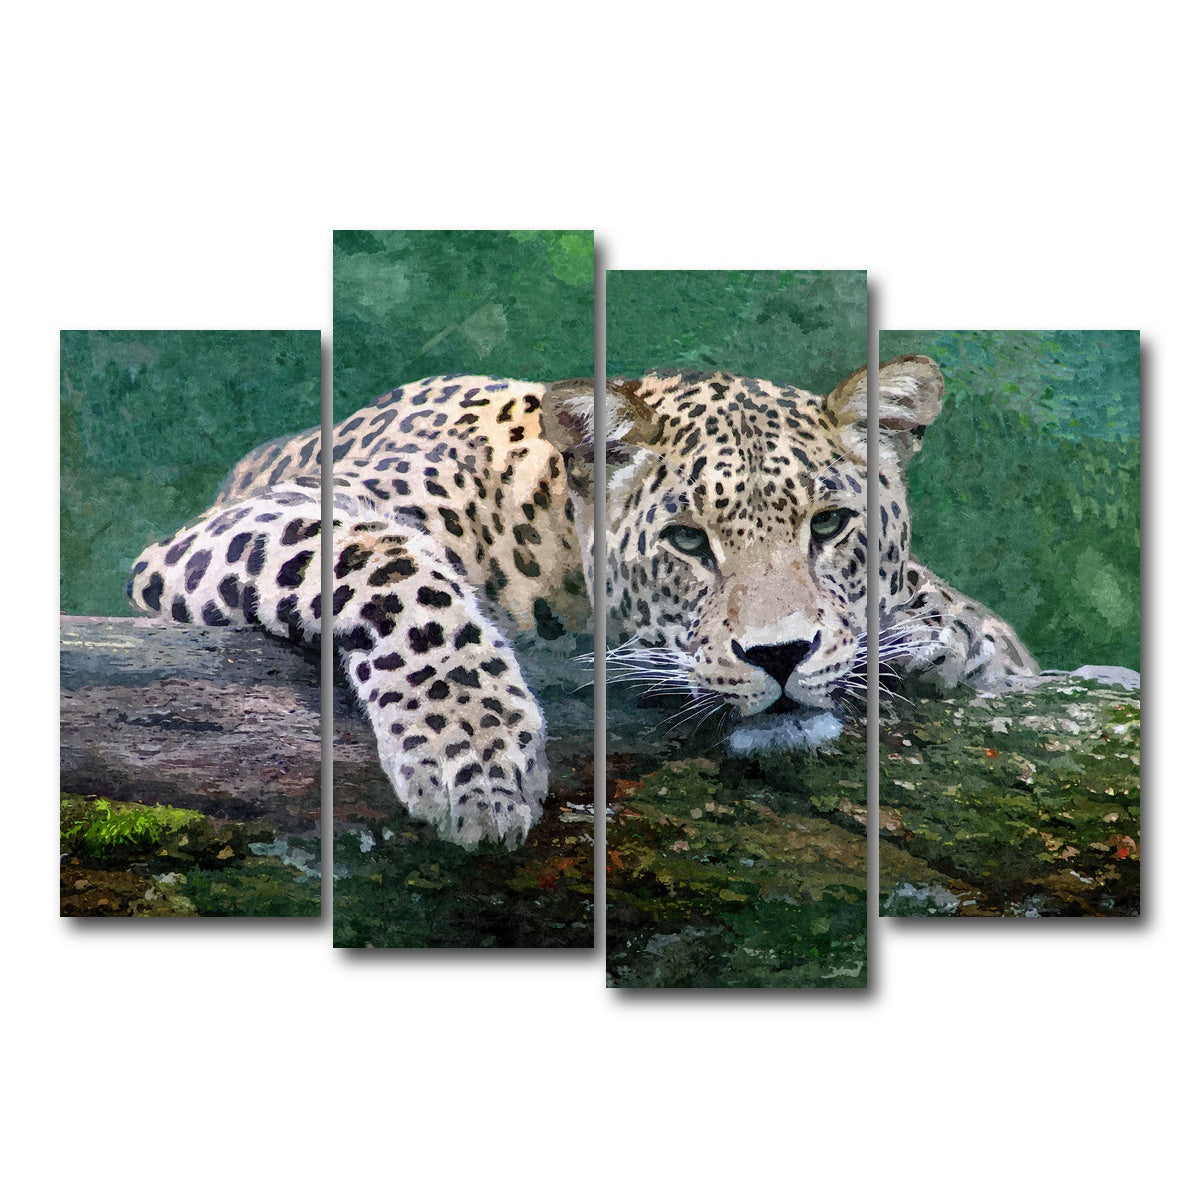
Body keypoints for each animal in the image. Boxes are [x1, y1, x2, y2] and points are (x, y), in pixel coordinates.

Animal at [127, 356, 1037, 848]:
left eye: (830, 524)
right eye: (687, 542)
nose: (779, 656)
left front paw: (946, 635)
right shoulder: (240, 528)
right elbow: (396, 570)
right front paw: (475, 757)